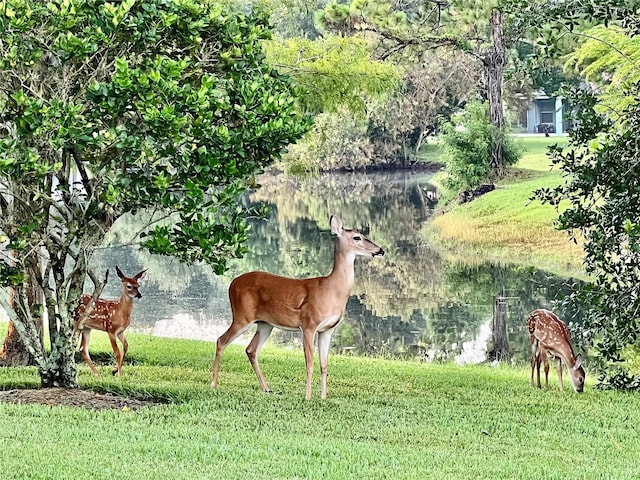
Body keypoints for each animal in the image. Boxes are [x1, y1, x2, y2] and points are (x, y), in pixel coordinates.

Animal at [212, 216, 384, 400]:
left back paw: (267, 388)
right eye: (357, 237)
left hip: (265, 324)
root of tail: (232, 283)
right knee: (221, 340)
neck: (331, 290)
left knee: (251, 349)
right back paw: (214, 384)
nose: (380, 250)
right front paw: (308, 397)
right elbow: (310, 363)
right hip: (242, 316)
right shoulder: (308, 324)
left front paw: (323, 397)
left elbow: (324, 365)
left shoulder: (328, 329)